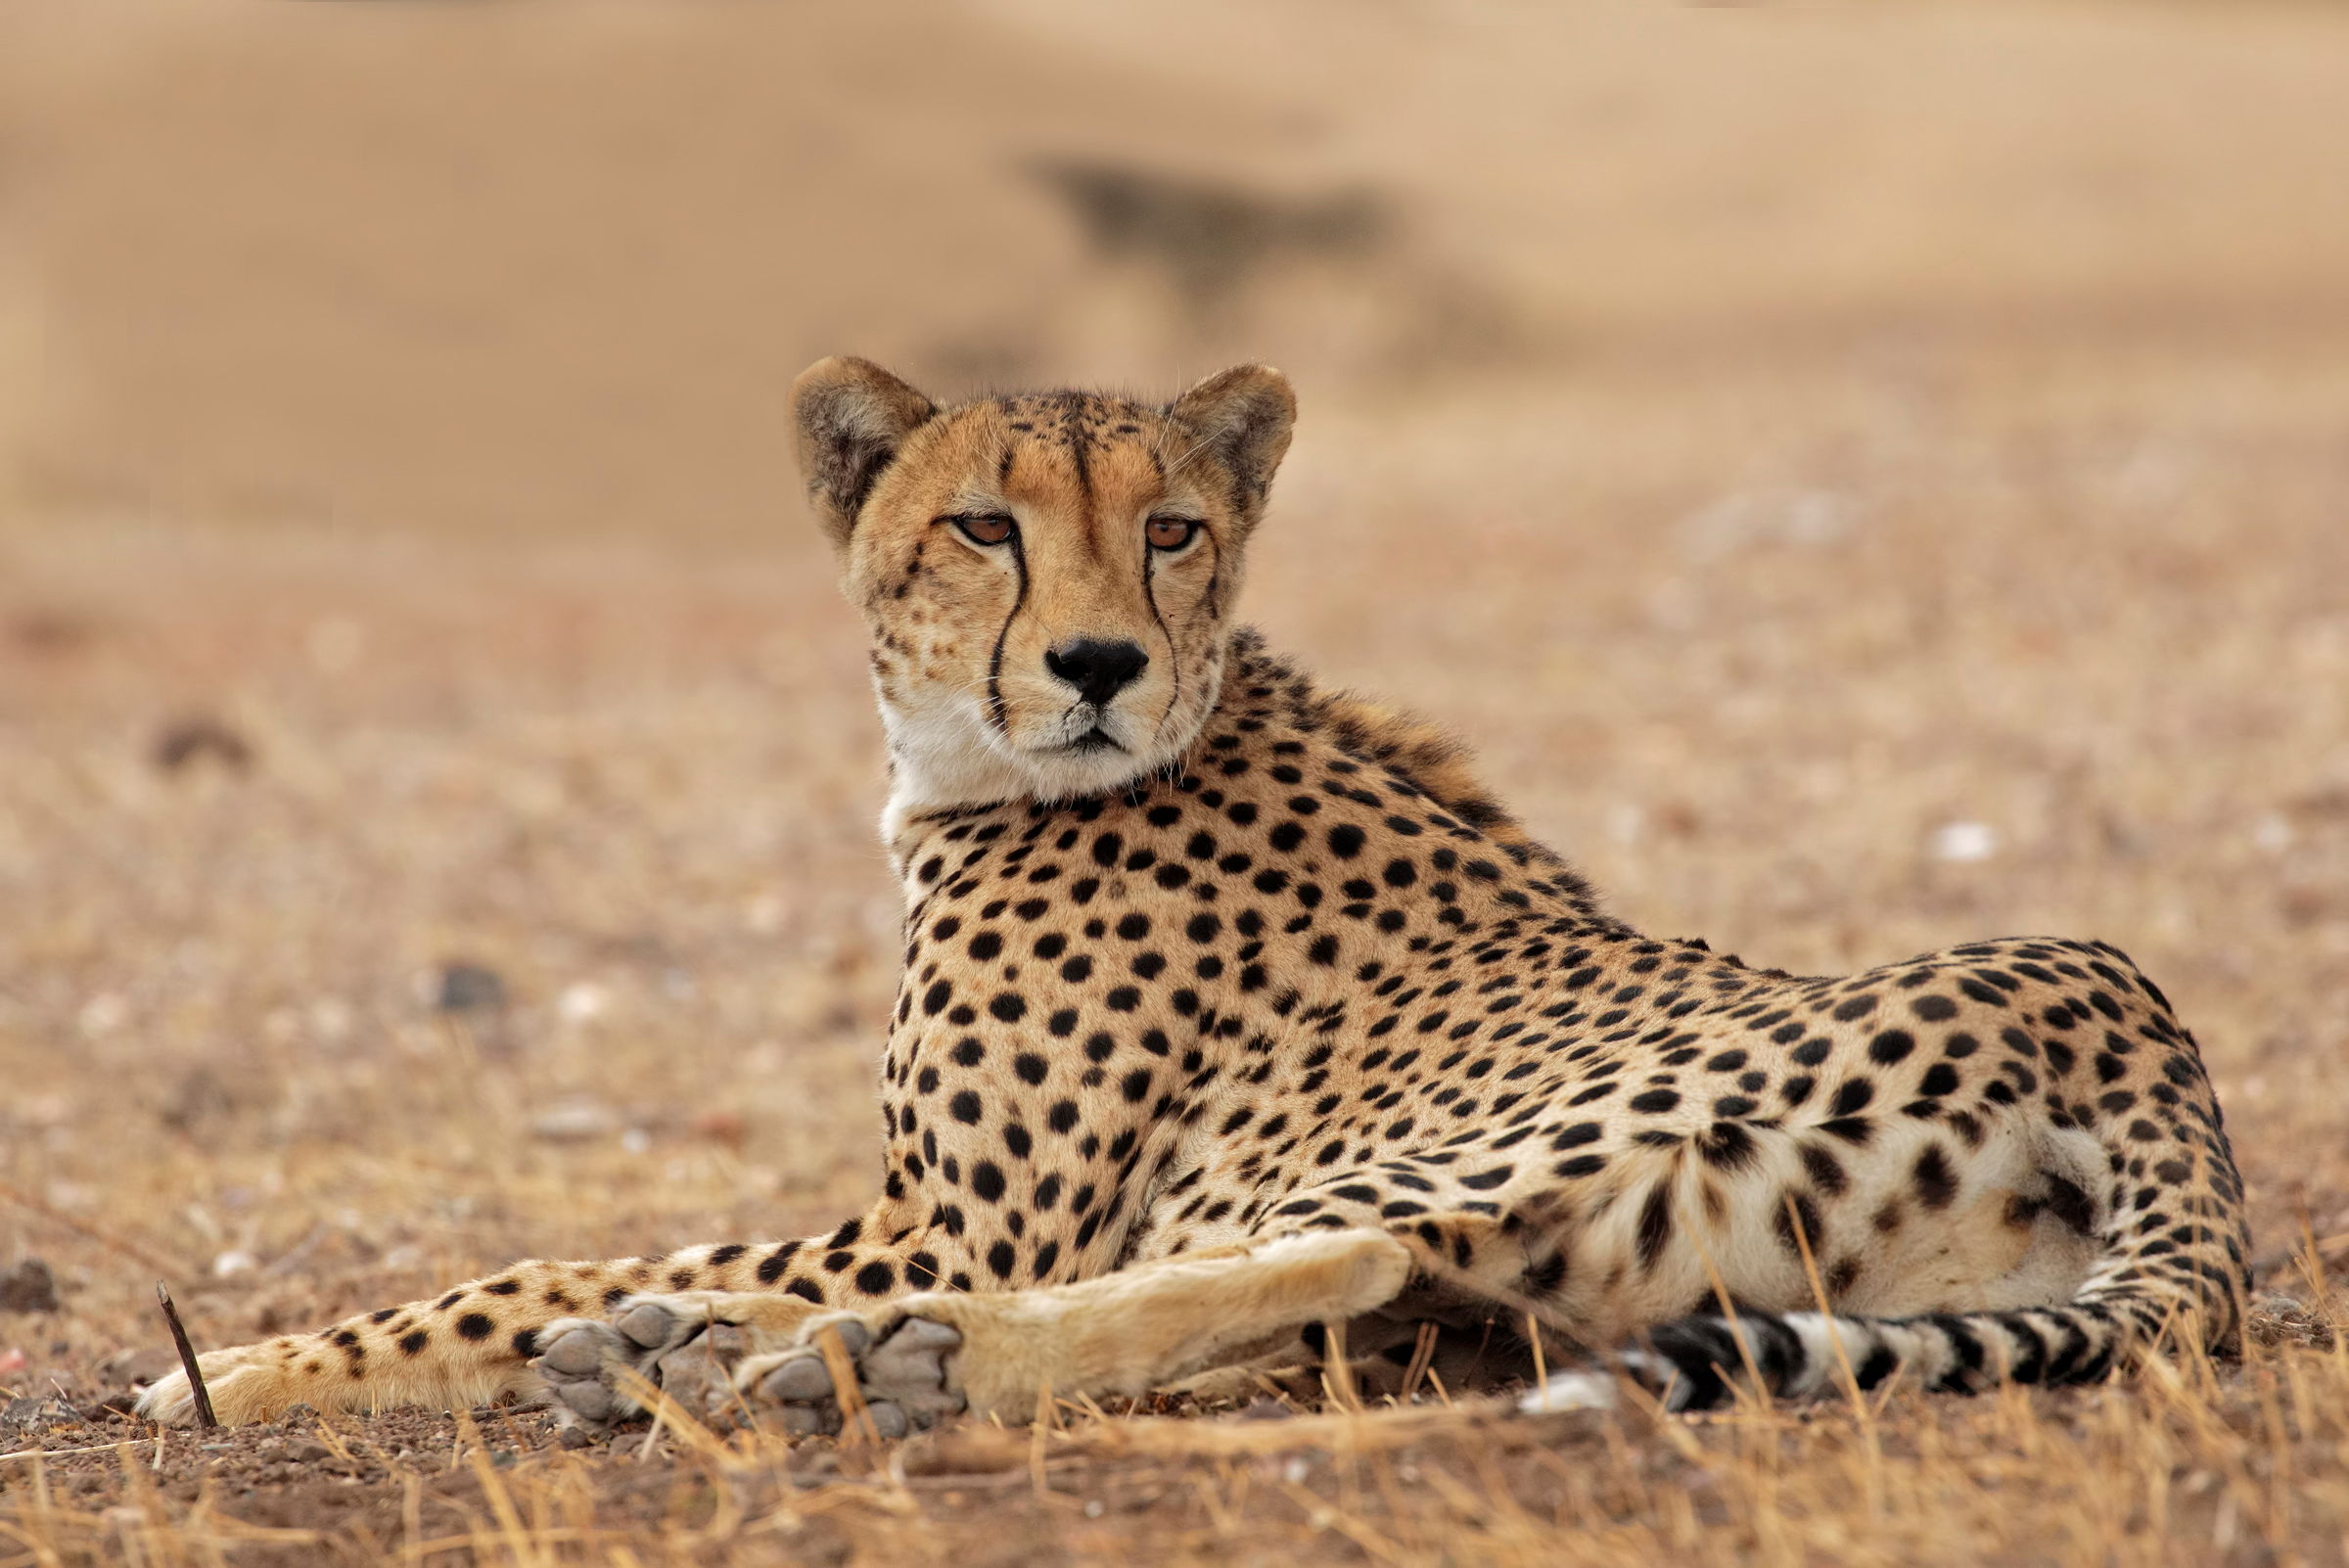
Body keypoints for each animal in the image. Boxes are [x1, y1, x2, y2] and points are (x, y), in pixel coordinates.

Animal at [138, 357, 2250, 1436]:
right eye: (982, 526)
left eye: (1171, 528)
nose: (1096, 663)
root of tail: (2129, 1011)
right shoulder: (922, 1207)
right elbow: (577, 1262)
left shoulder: (962, 1221)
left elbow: (539, 1265)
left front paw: (234, 1367)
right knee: (1418, 1316)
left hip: (1424, 1145)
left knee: (1347, 1261)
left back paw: (854, 1364)